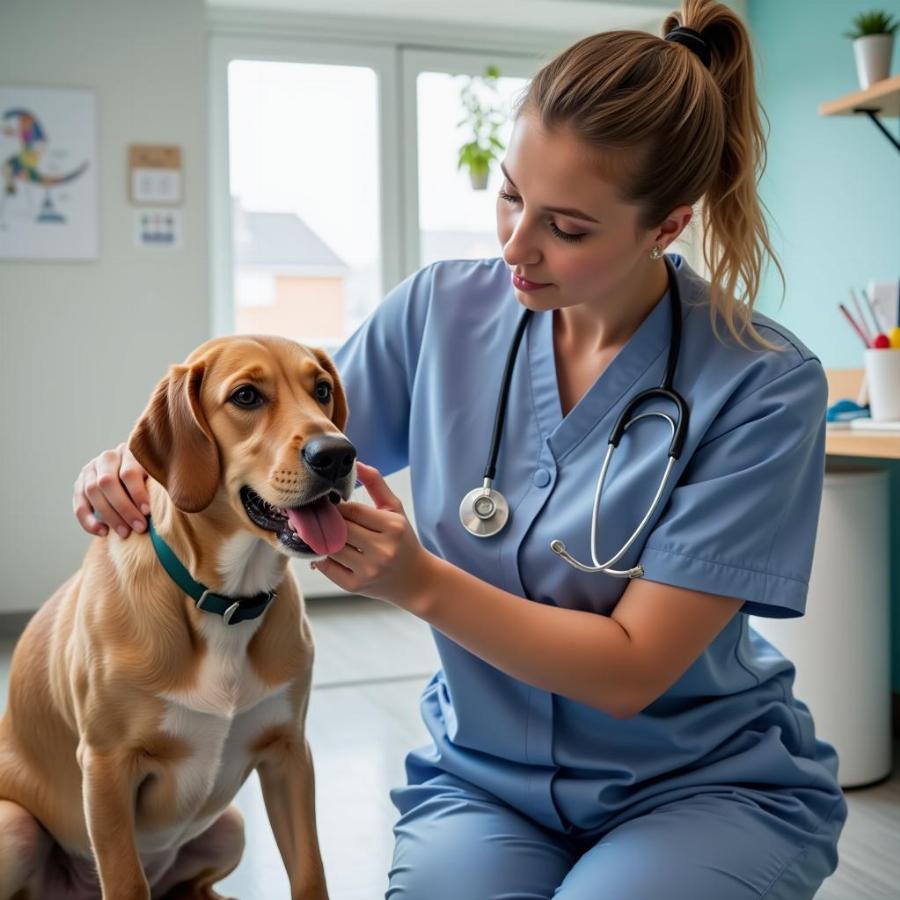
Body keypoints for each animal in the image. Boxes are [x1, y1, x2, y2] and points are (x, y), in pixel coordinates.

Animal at [0, 336, 358, 900]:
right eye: (246, 396)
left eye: (321, 389)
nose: (339, 454)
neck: (225, 602)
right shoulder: (105, 766)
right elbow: (126, 880)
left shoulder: (289, 755)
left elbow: (309, 873)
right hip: (12, 828)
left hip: (231, 827)